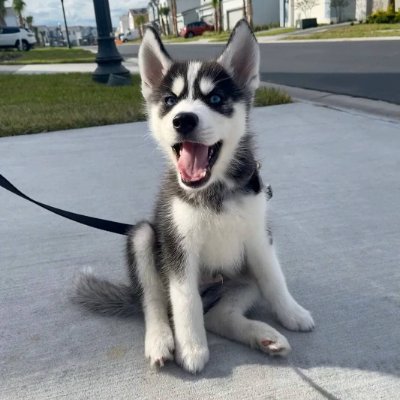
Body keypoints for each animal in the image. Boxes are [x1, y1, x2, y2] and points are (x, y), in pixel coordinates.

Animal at [73, 19, 314, 376]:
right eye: (170, 100)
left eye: (215, 98)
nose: (183, 119)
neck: (213, 192)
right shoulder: (178, 246)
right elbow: (185, 300)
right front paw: (192, 349)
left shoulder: (260, 238)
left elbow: (274, 278)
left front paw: (292, 312)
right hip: (144, 236)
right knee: (156, 302)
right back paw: (160, 340)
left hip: (240, 277)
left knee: (217, 315)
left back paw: (264, 337)